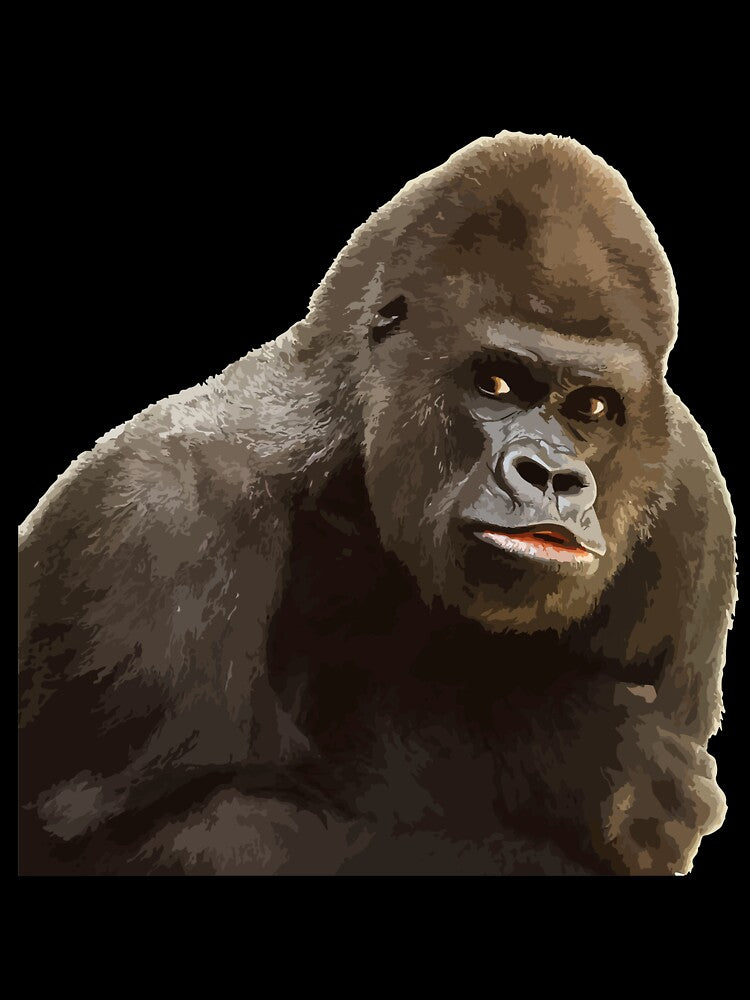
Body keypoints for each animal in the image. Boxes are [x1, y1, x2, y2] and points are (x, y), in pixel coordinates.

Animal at [18, 130, 736, 875]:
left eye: (591, 408)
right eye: (496, 383)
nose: (550, 476)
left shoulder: (691, 506)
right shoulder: (156, 517)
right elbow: (163, 834)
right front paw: (559, 751)